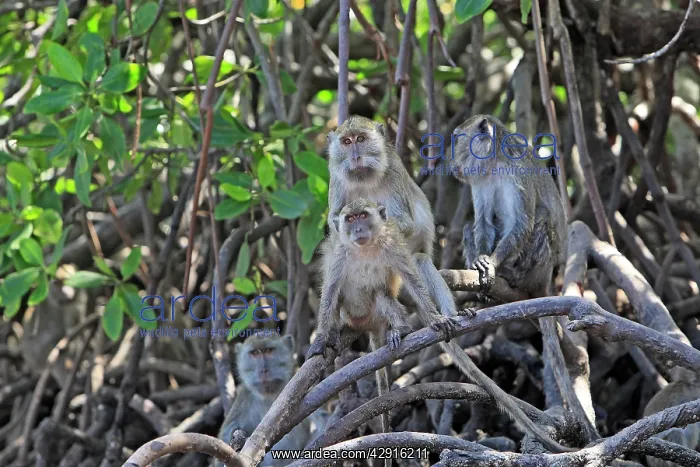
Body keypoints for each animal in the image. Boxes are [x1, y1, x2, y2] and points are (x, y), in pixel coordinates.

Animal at [215, 334, 310, 467]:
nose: (263, 370)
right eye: (254, 353)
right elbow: (227, 432)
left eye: (269, 350)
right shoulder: (245, 398)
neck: (269, 394)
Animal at [451, 114, 567, 299]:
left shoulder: (519, 172)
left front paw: (492, 263)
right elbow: (484, 222)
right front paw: (480, 258)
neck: (495, 162)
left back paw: (514, 275)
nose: (451, 160)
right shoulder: (479, 179)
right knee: (469, 227)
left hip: (540, 272)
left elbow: (523, 223)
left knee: (542, 214)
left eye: (456, 139)